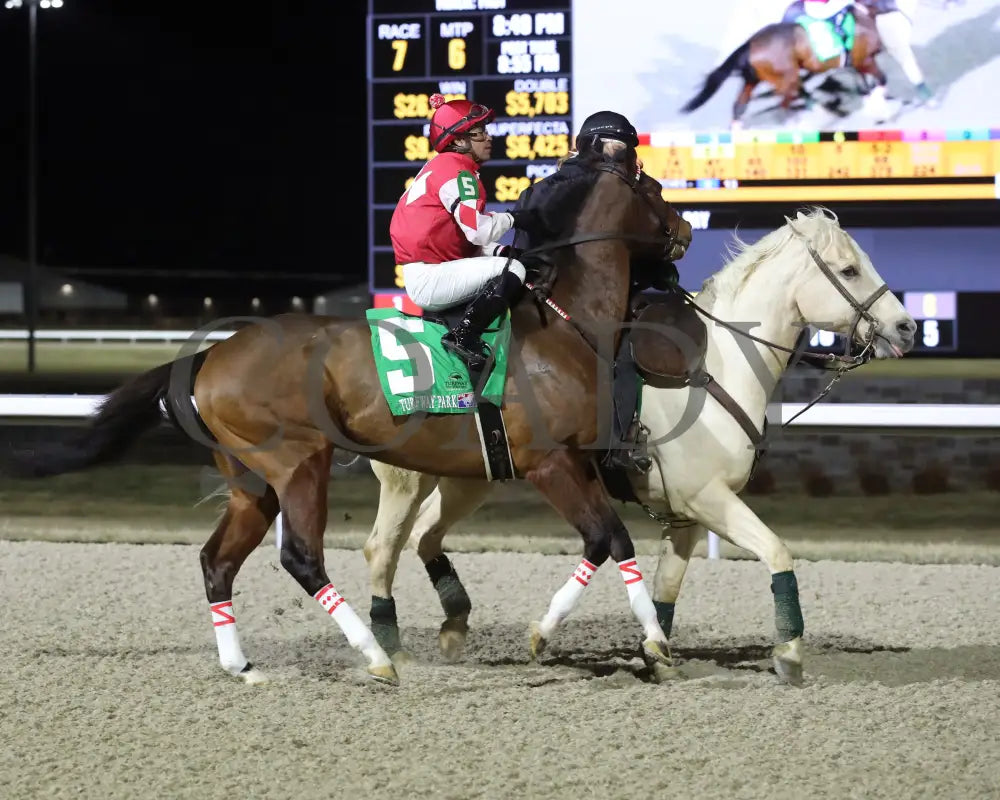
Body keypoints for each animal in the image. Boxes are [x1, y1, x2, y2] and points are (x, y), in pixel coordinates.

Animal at [7, 144, 692, 688]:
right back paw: (375, 657)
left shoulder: (578, 462)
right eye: (656, 190)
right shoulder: (550, 463)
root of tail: (209, 355)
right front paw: (561, 634)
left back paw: (242, 666)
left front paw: (653, 644)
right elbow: (602, 538)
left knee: (216, 562)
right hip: (299, 463)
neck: (564, 323)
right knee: (301, 558)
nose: (685, 231)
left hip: (252, 484)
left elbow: (617, 540)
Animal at [366, 209, 916, 684]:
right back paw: (389, 648)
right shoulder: (708, 499)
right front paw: (789, 653)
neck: (719, 362)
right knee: (382, 548)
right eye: (849, 269)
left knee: (424, 536)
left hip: (471, 478)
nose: (906, 326)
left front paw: (656, 653)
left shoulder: (686, 517)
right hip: (408, 478)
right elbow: (777, 552)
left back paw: (451, 629)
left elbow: (665, 588)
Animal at [684, 3, 888, 125]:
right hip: (786, 78)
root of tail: (751, 43)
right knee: (784, 107)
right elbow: (882, 79)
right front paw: (880, 111)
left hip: (753, 79)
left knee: (739, 107)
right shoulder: (865, 60)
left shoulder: (859, 63)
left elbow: (868, 81)